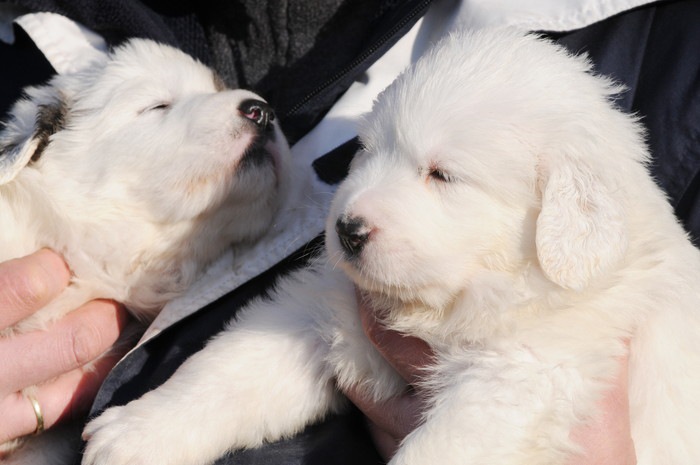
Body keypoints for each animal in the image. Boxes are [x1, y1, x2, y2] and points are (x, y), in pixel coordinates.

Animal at [83, 29, 700, 464]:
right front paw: (136, 432)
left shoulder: (517, 382)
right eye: (368, 151)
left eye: (443, 175)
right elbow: (226, 373)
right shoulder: (315, 317)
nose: (347, 230)